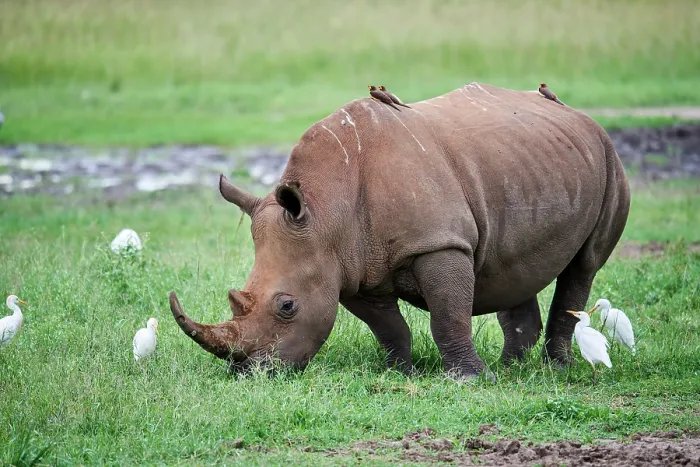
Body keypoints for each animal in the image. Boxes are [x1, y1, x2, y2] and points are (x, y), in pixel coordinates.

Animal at [169, 82, 630, 378]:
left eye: (287, 306)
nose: (249, 372)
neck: (325, 210)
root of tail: (580, 116)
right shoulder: (349, 265)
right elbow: (388, 327)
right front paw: (398, 372)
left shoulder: (439, 244)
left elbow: (447, 316)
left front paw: (469, 379)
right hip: (530, 166)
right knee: (515, 267)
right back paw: (512, 367)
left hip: (609, 160)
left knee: (584, 266)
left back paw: (555, 369)